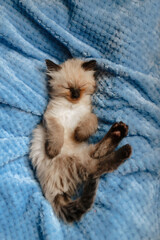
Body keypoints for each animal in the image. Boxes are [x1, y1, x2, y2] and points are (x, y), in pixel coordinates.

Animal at [29, 58, 131, 223]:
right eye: (68, 87)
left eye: (81, 87)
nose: (76, 95)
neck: (72, 106)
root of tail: (54, 192)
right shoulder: (51, 118)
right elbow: (57, 134)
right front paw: (53, 151)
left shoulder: (88, 115)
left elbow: (90, 122)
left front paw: (78, 135)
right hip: (81, 161)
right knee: (97, 167)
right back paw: (124, 144)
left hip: (85, 153)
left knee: (99, 156)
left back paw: (119, 130)